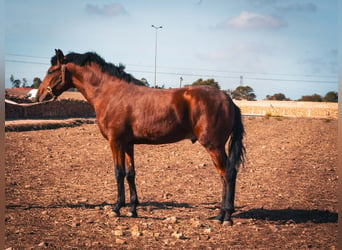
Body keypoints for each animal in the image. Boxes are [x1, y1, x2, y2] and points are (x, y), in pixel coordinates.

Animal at [36, 49, 244, 226]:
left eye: (51, 70)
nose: (38, 96)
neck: (110, 93)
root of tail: (228, 99)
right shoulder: (128, 144)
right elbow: (130, 174)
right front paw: (133, 209)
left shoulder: (115, 142)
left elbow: (118, 173)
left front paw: (116, 208)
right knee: (224, 176)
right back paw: (220, 215)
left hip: (213, 146)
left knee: (228, 174)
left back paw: (226, 216)